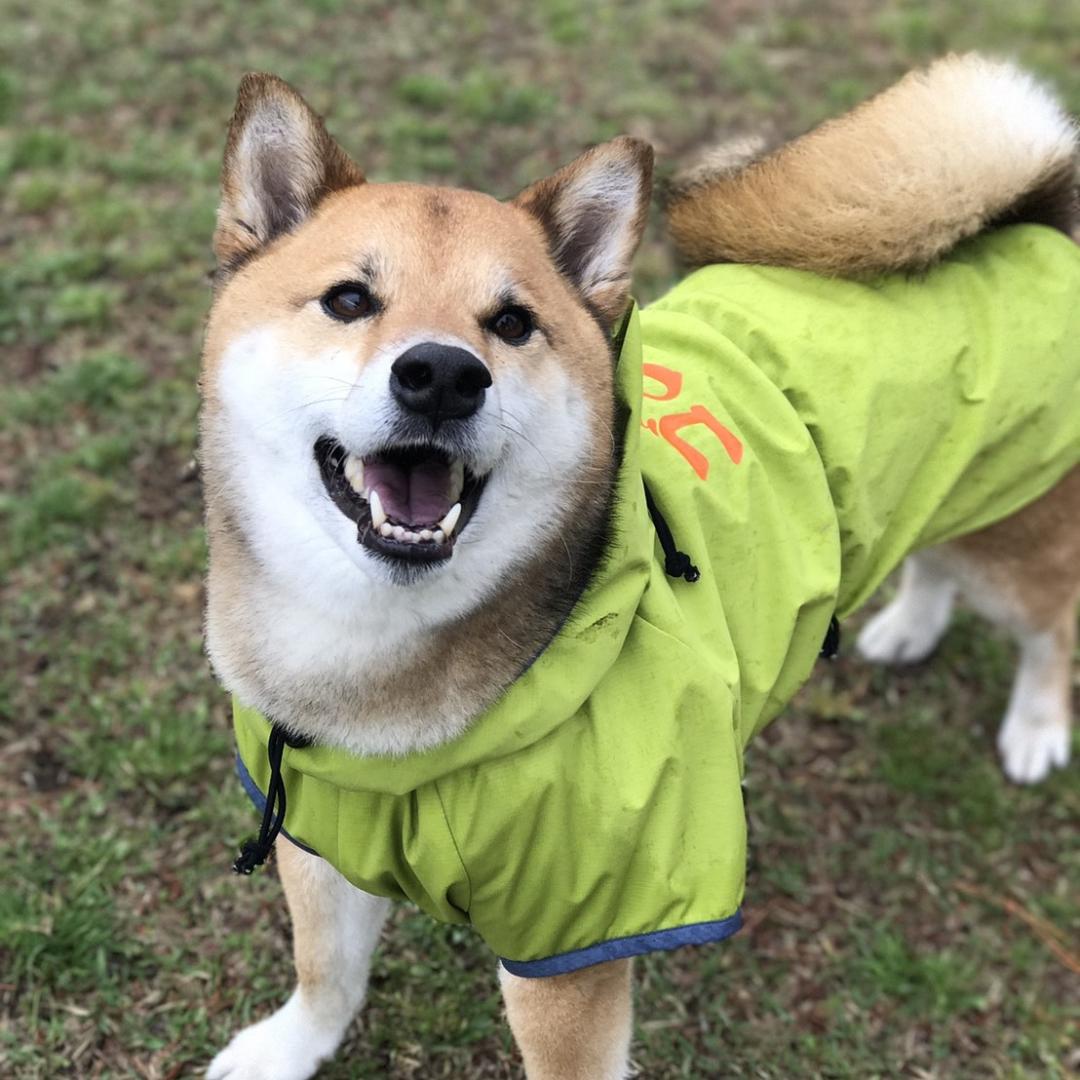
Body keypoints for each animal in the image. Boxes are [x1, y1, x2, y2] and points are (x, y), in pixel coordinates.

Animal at [200, 52, 1071, 1080]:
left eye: (512, 322)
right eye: (347, 300)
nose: (444, 375)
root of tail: (1032, 218)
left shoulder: (578, 943)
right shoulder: (318, 829)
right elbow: (325, 969)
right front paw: (285, 1049)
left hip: (1016, 538)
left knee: (1051, 628)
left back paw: (1037, 726)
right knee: (936, 556)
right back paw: (910, 624)